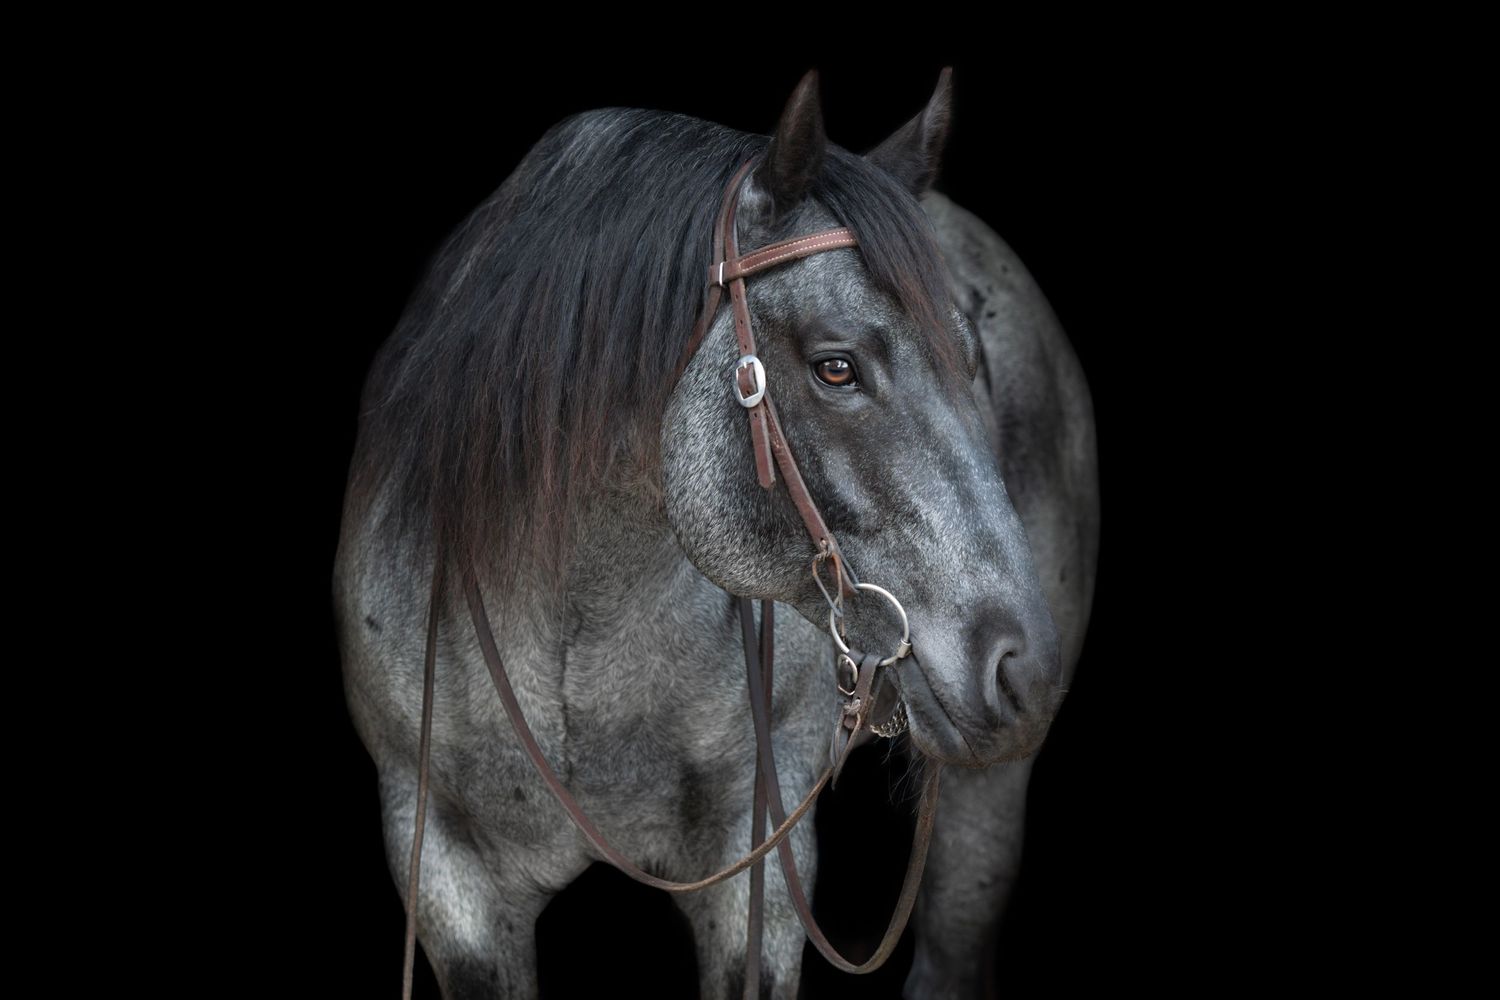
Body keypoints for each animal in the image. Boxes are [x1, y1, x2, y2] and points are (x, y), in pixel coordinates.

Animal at [333, 68, 1099, 999]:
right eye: (835, 367)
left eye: (972, 360)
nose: (1024, 667)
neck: (578, 622)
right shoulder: (451, 877)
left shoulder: (754, 868)